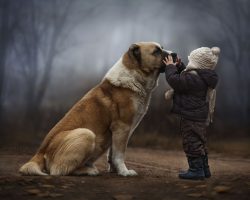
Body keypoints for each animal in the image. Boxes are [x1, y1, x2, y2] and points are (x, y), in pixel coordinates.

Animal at [19, 41, 168, 177]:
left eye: (161, 48)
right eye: (156, 51)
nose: (173, 54)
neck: (134, 76)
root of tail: (40, 152)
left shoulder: (118, 132)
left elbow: (112, 154)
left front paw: (115, 170)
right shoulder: (122, 127)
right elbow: (119, 154)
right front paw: (124, 172)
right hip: (86, 134)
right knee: (58, 170)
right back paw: (89, 170)